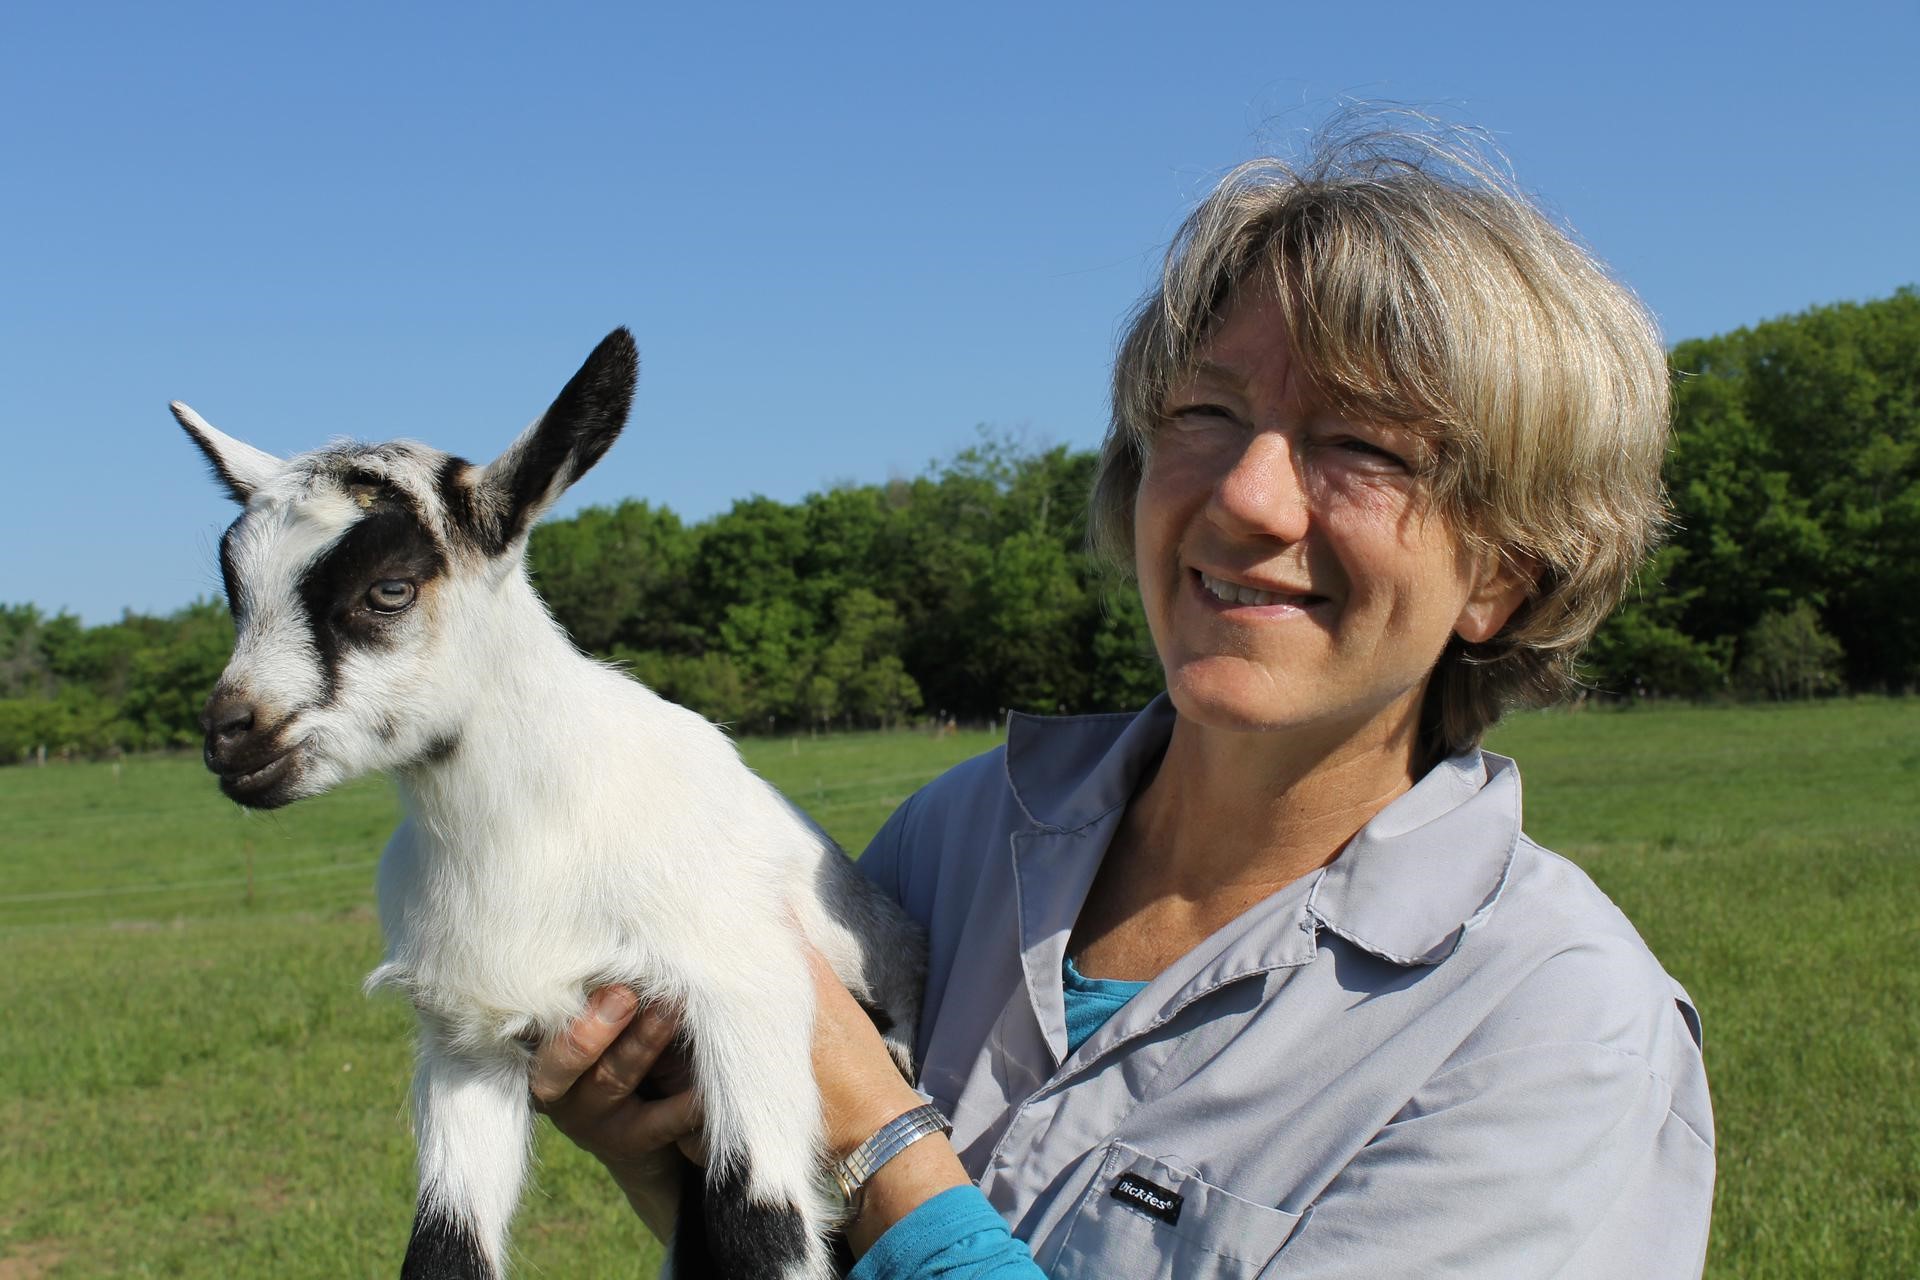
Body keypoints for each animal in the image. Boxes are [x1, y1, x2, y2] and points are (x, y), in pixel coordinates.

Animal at [176, 333, 925, 1280]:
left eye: (390, 589)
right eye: (236, 591)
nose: (231, 736)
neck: (527, 839)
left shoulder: (746, 991)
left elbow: (761, 1227)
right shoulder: (468, 1040)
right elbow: (443, 1248)